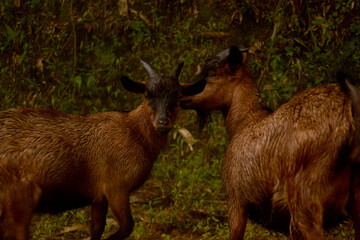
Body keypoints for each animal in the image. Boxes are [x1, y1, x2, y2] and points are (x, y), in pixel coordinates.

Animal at [0, 59, 204, 238]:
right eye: (147, 95)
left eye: (178, 97)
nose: (163, 122)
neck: (134, 134)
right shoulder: (116, 186)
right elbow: (127, 227)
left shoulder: (98, 196)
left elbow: (97, 228)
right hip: (20, 199)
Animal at [181, 46, 360, 239]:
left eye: (212, 73)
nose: (181, 94)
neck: (243, 122)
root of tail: (349, 112)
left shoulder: (237, 201)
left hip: (305, 202)